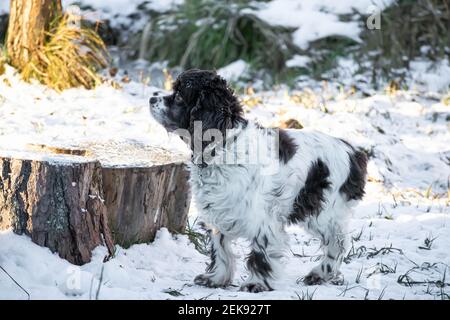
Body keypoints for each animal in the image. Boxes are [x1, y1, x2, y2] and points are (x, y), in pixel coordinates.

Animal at [149, 69, 368, 292]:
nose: (151, 98)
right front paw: (216, 279)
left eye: (178, 96)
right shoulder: (220, 214)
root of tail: (354, 152)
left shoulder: (263, 220)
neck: (224, 147)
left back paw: (319, 273)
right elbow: (221, 249)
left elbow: (261, 253)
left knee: (338, 242)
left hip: (323, 210)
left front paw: (256, 283)